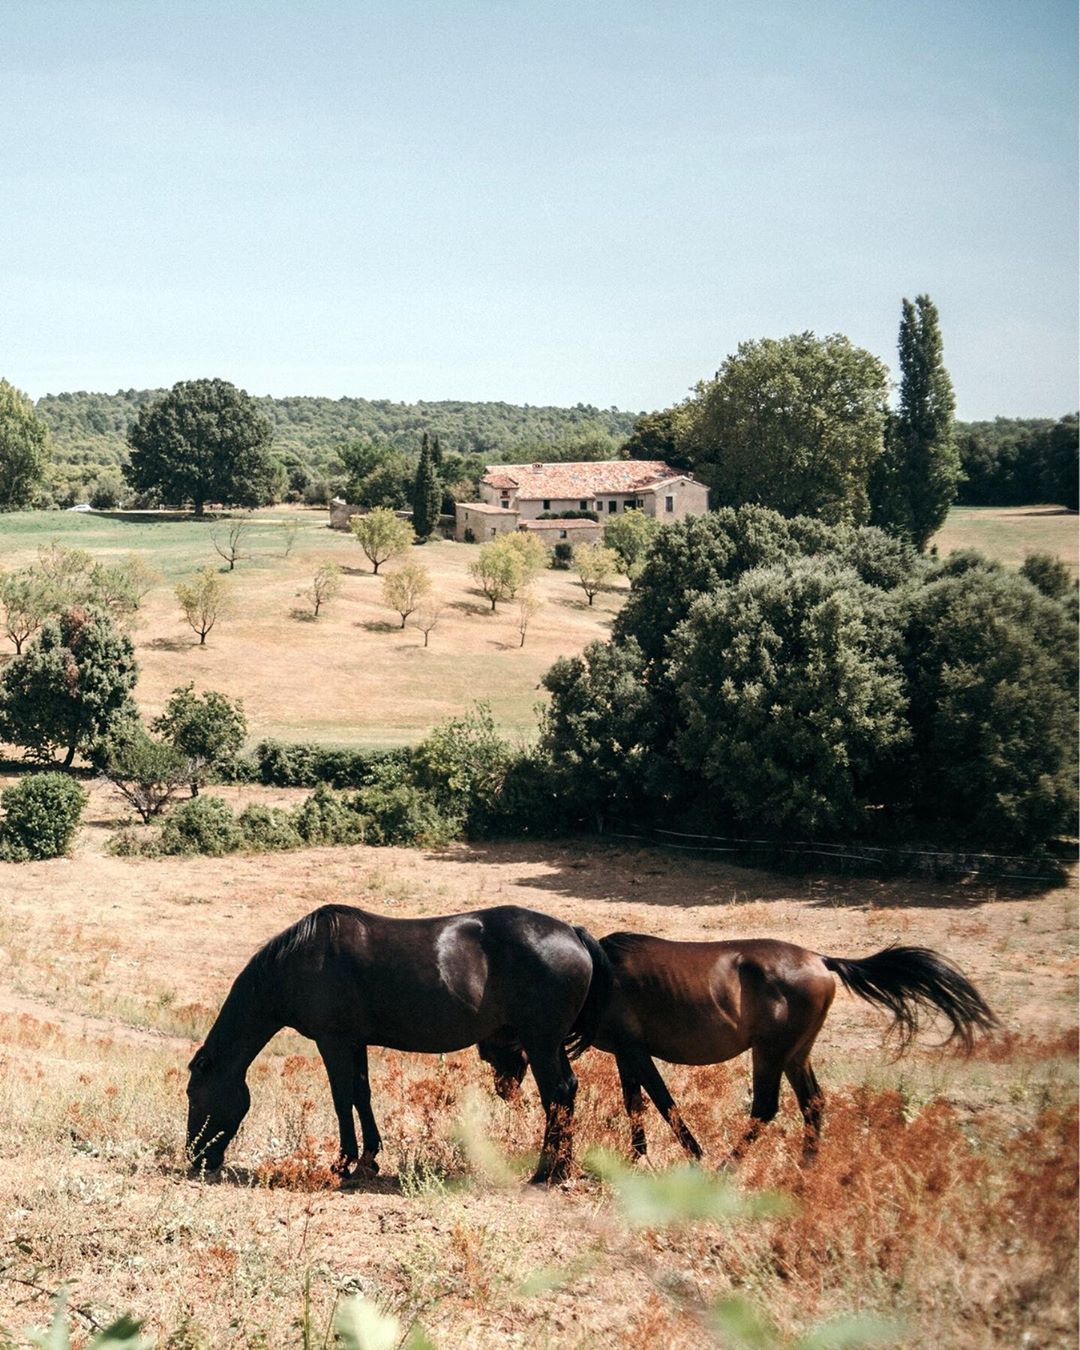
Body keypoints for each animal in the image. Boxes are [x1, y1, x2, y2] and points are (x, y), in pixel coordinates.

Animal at [184, 907, 607, 1182]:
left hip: (541, 1044)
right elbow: (361, 1095)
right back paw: (561, 1168)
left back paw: (547, 1172)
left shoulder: (333, 1042)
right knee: (568, 1091)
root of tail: (573, 932)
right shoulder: (354, 1043)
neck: (299, 962)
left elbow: (341, 1098)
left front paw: (343, 1163)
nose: (196, 1157)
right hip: (549, 1045)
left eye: (193, 1094)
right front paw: (369, 1159)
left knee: (556, 1095)